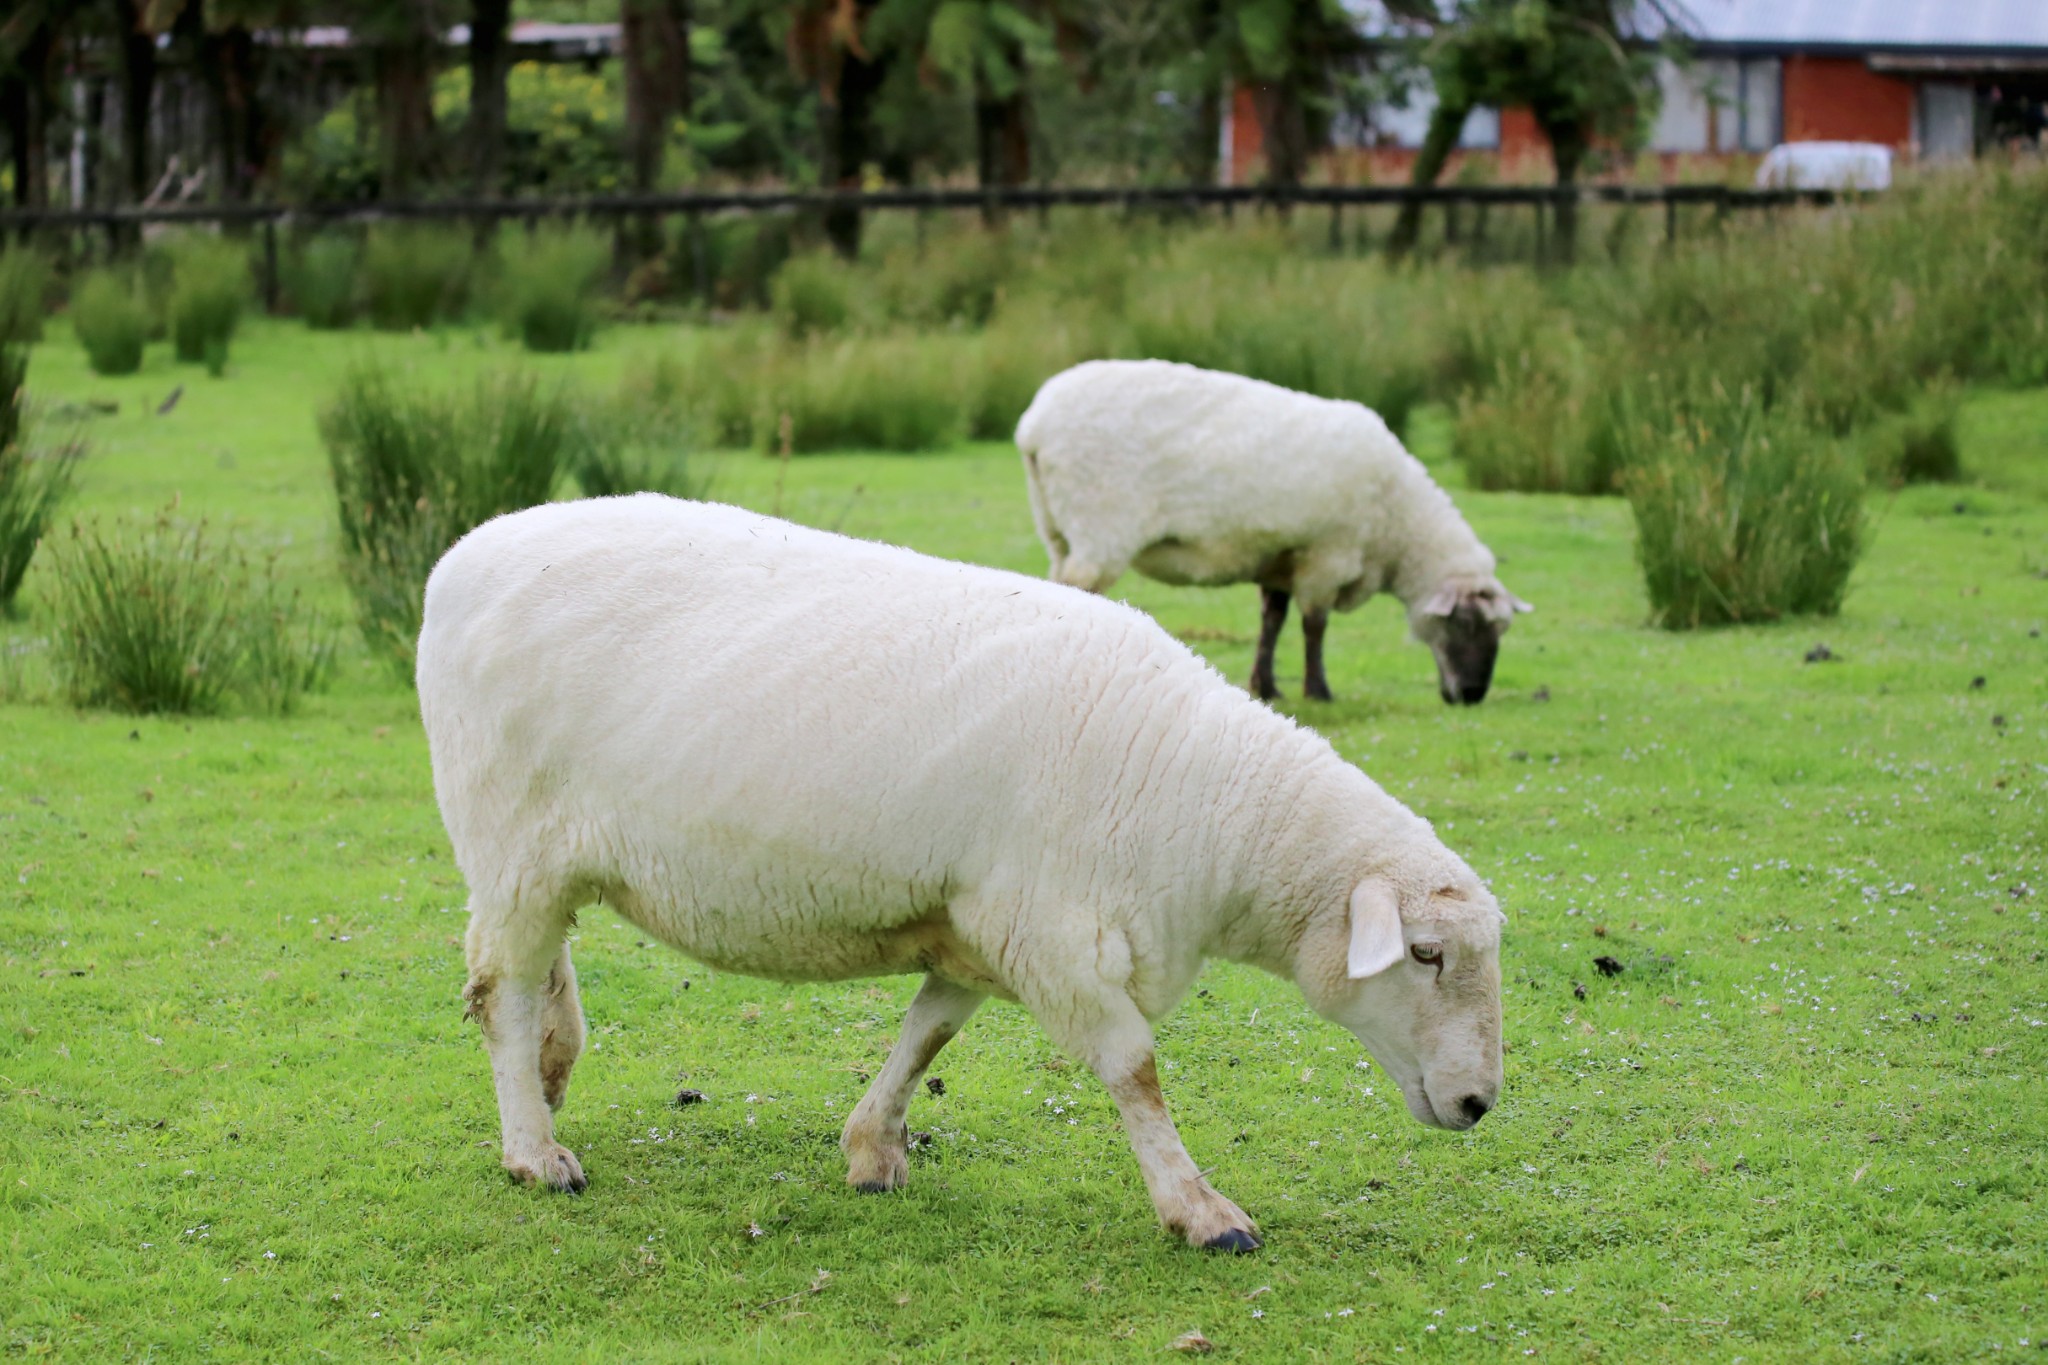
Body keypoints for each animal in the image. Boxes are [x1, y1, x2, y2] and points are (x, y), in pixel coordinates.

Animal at [415, 497, 1507, 1252]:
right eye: (1422, 953)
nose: (1477, 1107)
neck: (1206, 803)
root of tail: (460, 558)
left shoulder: (980, 926)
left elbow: (927, 1035)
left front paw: (871, 1151)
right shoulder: (1056, 937)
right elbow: (1135, 1070)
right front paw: (1201, 1211)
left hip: (540, 857)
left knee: (536, 972)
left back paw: (551, 1079)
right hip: (511, 836)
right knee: (503, 991)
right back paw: (533, 1151)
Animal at [1015, 358, 1531, 703]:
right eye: (1465, 623)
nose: (1471, 695)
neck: (1397, 524)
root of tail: (1032, 427)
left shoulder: (1281, 557)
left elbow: (1273, 621)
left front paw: (1265, 685)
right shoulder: (1327, 555)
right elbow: (1314, 625)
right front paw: (1318, 690)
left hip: (1055, 527)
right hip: (1100, 523)